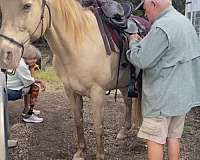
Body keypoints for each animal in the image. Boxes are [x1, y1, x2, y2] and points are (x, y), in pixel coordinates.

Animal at [0, 0, 144, 159]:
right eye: (2, 8)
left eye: (27, 6)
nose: (5, 55)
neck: (77, 44)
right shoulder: (71, 91)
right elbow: (78, 121)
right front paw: (80, 152)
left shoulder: (97, 93)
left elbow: (98, 126)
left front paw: (99, 155)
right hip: (124, 85)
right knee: (128, 103)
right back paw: (124, 131)